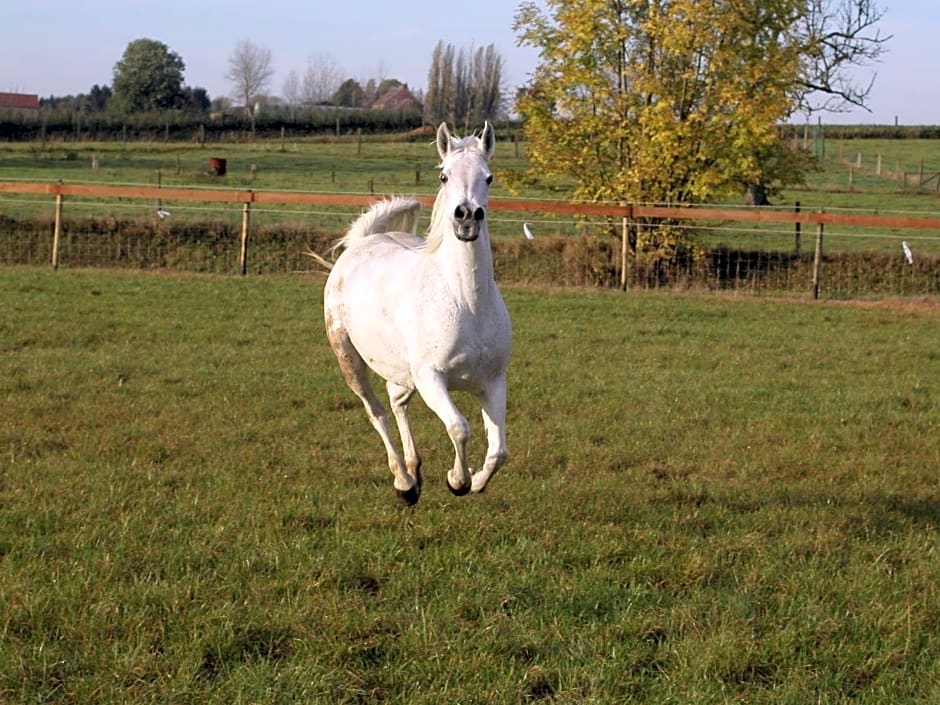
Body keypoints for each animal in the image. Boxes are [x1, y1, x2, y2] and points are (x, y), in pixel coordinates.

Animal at [324, 122, 516, 506]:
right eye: (444, 176)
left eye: (488, 177)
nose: (467, 217)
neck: (466, 303)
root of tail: (361, 242)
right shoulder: (431, 377)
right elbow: (459, 427)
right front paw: (457, 481)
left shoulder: (493, 381)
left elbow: (499, 450)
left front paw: (476, 481)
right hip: (350, 359)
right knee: (377, 412)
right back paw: (404, 483)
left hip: (401, 373)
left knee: (397, 402)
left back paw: (414, 471)